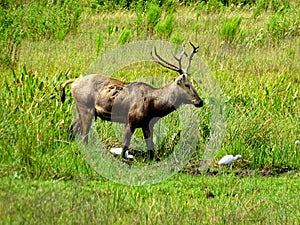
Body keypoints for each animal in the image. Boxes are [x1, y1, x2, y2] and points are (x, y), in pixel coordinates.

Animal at [59, 41, 203, 160]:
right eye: (187, 85)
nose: (200, 101)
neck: (155, 107)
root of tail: (74, 81)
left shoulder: (147, 124)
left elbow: (151, 148)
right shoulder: (130, 120)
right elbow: (124, 146)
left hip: (81, 109)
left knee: (72, 128)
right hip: (86, 108)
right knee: (83, 135)